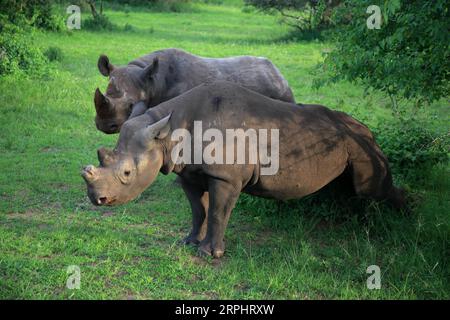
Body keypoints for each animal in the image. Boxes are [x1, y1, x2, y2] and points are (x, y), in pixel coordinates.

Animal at [81, 82, 408, 258]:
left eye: (127, 174)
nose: (98, 200)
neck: (168, 130)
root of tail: (367, 130)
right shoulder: (188, 171)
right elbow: (198, 210)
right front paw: (189, 242)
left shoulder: (225, 176)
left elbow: (216, 213)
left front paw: (209, 254)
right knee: (351, 189)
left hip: (362, 142)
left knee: (371, 189)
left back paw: (405, 217)